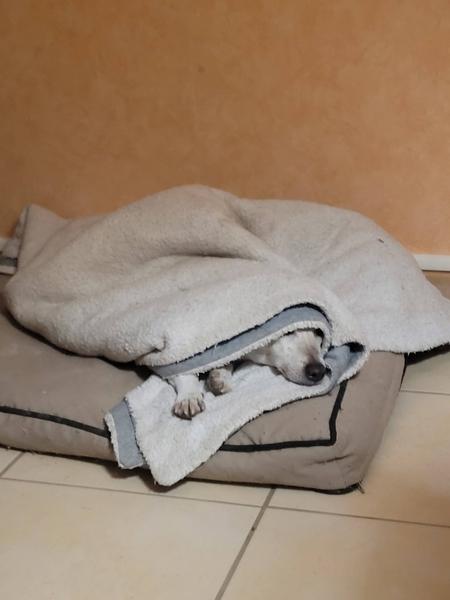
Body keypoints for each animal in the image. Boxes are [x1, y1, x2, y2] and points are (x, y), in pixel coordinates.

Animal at [169, 329, 326, 419]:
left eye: (319, 332)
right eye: (287, 332)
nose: (318, 372)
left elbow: (226, 362)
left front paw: (220, 376)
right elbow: (183, 369)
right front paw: (189, 396)